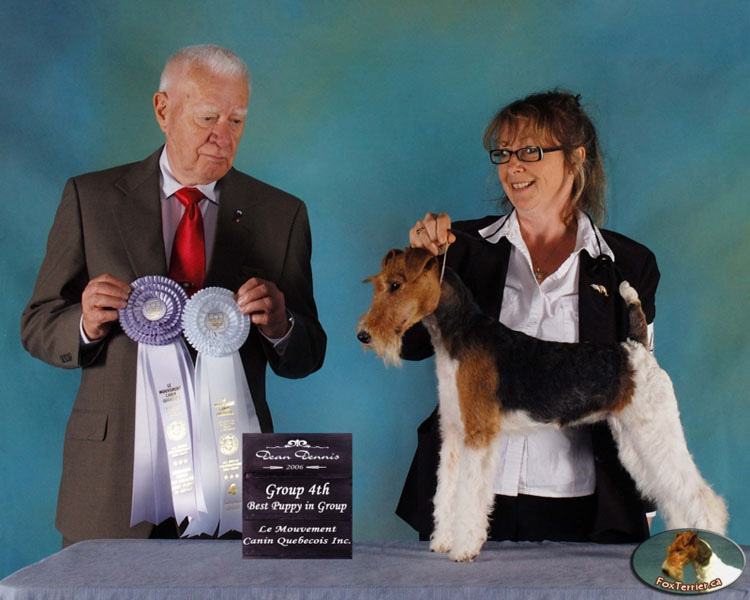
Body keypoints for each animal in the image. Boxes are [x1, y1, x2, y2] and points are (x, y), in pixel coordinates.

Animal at [357, 247, 728, 562]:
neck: (459, 334)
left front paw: (464, 549)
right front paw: (443, 541)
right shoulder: (453, 433)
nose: (363, 335)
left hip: (655, 430)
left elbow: (469, 494)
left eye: (396, 284)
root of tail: (635, 348)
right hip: (634, 439)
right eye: (378, 284)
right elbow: (446, 491)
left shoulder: (478, 433)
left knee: (698, 494)